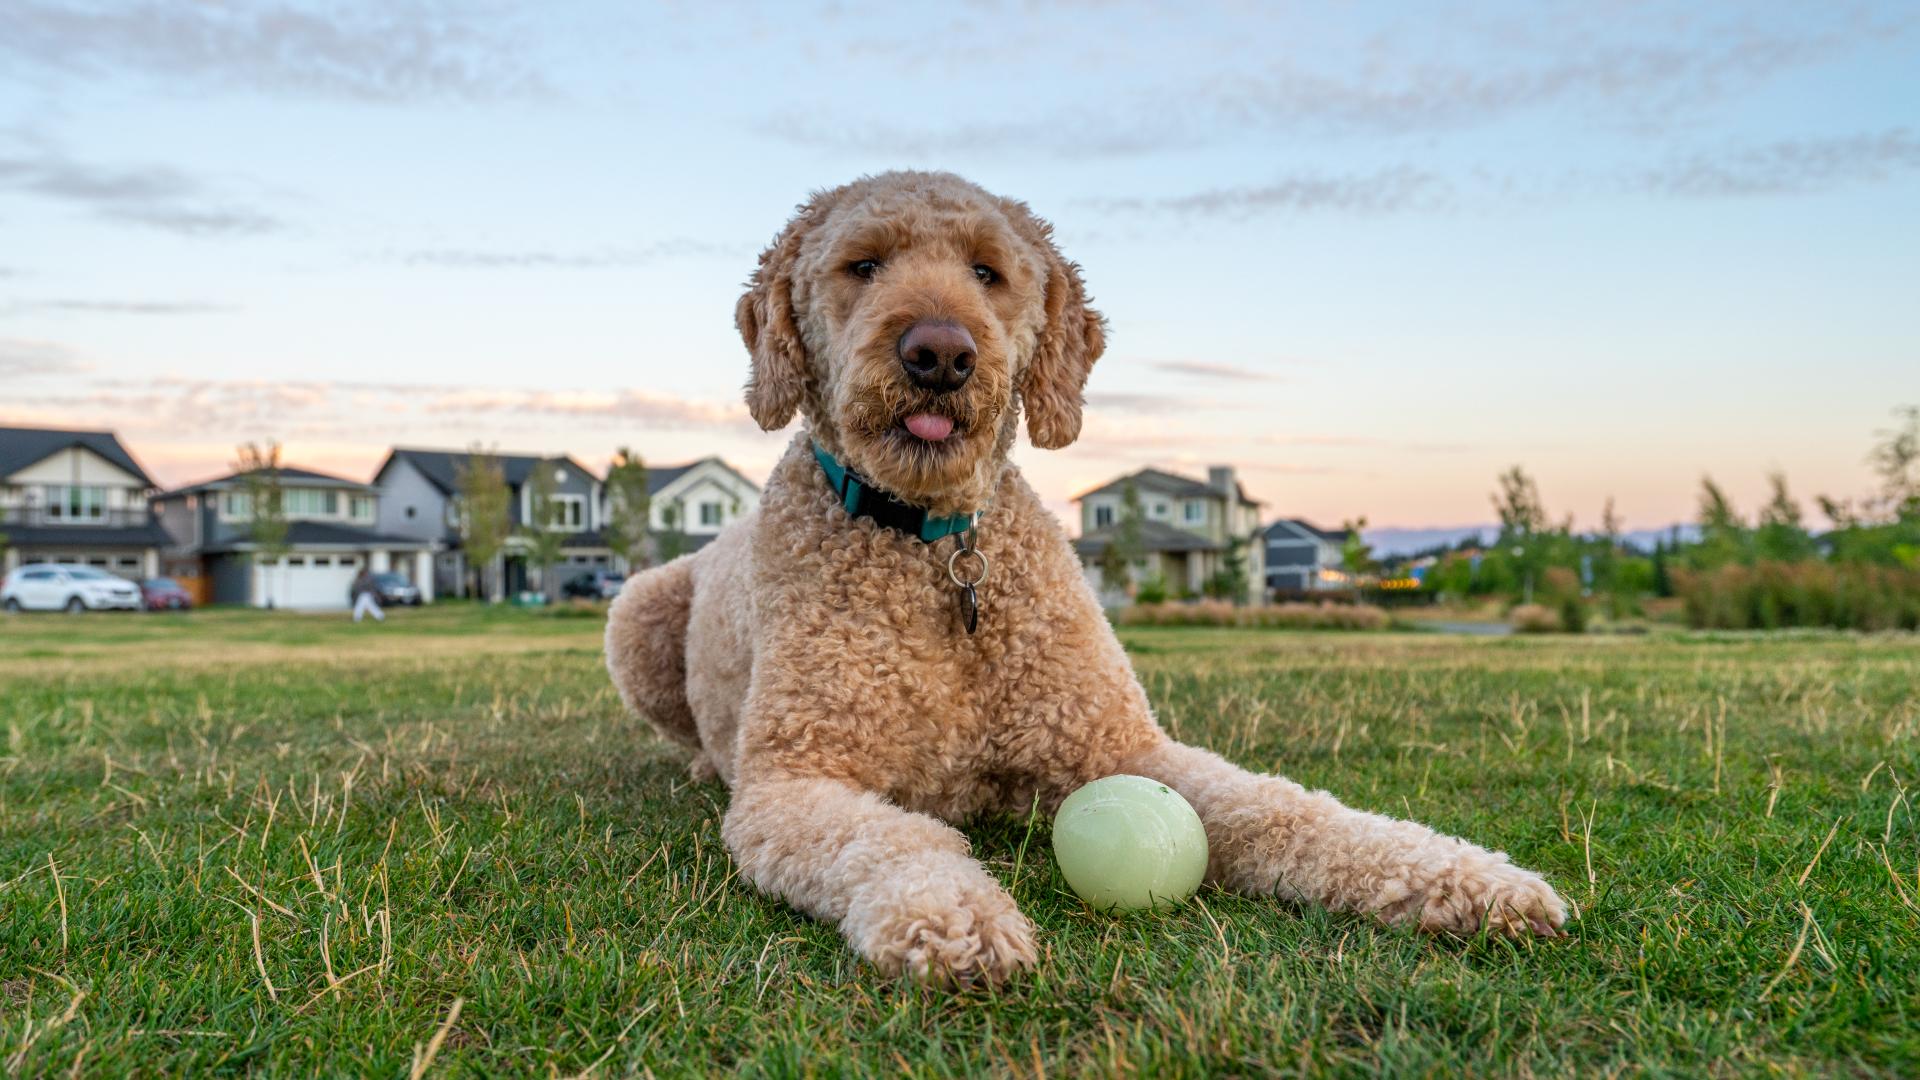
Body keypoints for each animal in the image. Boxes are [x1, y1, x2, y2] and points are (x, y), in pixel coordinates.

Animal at [606, 170, 1566, 983]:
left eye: (988, 272)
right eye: (863, 265)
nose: (940, 352)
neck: (935, 543)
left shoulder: (1123, 748)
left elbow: (1287, 810)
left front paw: (1467, 878)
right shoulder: (795, 782)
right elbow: (894, 842)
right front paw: (953, 919)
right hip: (637, 608)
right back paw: (703, 765)